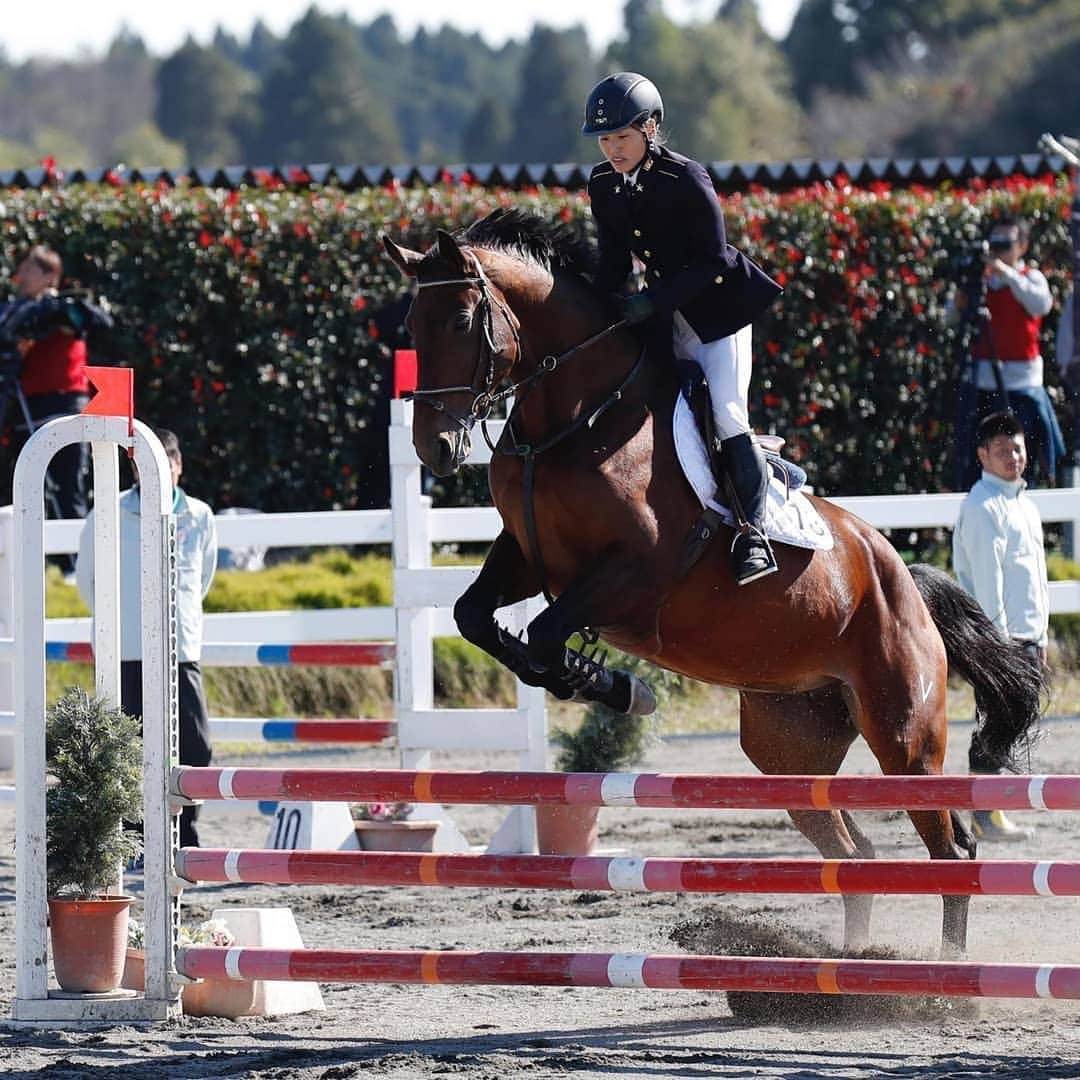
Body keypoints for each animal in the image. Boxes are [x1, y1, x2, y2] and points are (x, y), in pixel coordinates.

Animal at [380, 208, 1045, 954]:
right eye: (411, 327)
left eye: (463, 320)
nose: (434, 447)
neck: (575, 418)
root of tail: (904, 580)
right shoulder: (527, 556)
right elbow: (475, 618)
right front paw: (607, 684)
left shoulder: (638, 569)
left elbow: (547, 633)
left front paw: (616, 685)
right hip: (789, 748)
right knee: (854, 851)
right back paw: (854, 961)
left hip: (904, 734)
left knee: (949, 848)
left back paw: (942, 965)